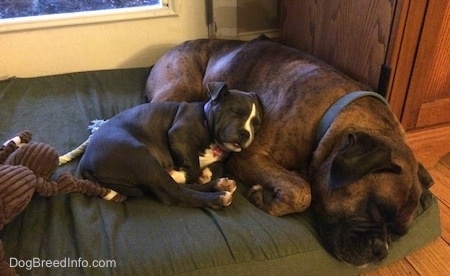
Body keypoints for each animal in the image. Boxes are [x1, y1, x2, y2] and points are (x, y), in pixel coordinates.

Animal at [80, 82, 264, 209]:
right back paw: (217, 197)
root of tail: (85, 162)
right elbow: (193, 167)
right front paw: (182, 174)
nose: (246, 134)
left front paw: (206, 173)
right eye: (236, 113)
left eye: (256, 124)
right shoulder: (178, 135)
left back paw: (220, 185)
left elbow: (219, 165)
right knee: (174, 192)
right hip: (140, 156)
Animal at [144, 35, 432, 266]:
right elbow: (302, 191)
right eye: (375, 208)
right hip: (179, 90)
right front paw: (264, 197)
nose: (381, 252)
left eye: (400, 233)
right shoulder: (250, 157)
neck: (330, 115)